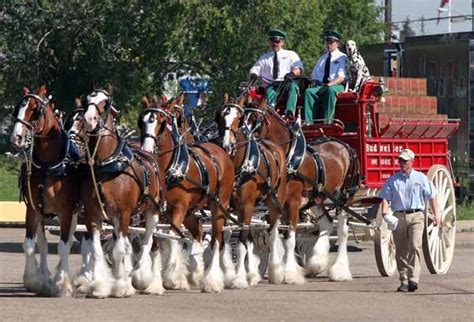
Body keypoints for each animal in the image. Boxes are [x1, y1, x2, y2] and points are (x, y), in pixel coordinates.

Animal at [9, 86, 78, 296]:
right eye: (17, 109)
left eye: (35, 110)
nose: (16, 138)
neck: (48, 165)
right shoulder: (32, 209)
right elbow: (31, 245)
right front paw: (34, 280)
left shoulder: (66, 211)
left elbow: (64, 246)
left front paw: (63, 284)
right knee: (43, 243)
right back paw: (46, 276)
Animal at [76, 89, 167, 298]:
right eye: (87, 100)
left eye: (105, 103)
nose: (89, 120)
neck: (106, 164)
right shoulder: (93, 215)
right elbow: (98, 250)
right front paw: (100, 286)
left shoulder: (124, 213)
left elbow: (121, 250)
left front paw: (124, 286)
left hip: (152, 211)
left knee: (148, 242)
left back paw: (144, 280)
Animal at [140, 95, 236, 292]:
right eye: (142, 121)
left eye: (161, 122)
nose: (146, 149)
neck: (169, 168)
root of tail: (220, 151)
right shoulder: (159, 210)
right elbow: (155, 240)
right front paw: (154, 281)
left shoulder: (179, 208)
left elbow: (172, 237)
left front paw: (172, 278)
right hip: (191, 212)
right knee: (198, 231)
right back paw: (196, 271)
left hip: (218, 205)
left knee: (216, 239)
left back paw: (212, 279)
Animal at [216, 94, 288, 288]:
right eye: (219, 117)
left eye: (238, 119)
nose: (227, 145)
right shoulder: (225, 207)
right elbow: (224, 239)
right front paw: (226, 274)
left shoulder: (247, 206)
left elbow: (241, 242)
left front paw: (240, 278)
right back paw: (254, 273)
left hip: (273, 201)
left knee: (272, 233)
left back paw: (275, 272)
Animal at [244, 94, 360, 284]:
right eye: (241, 118)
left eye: (255, 119)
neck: (287, 157)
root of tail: (345, 145)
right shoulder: (273, 204)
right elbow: (273, 235)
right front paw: (277, 271)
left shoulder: (293, 203)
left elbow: (290, 238)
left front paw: (290, 273)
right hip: (317, 196)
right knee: (327, 222)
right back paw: (316, 262)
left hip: (343, 196)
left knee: (342, 230)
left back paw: (340, 270)